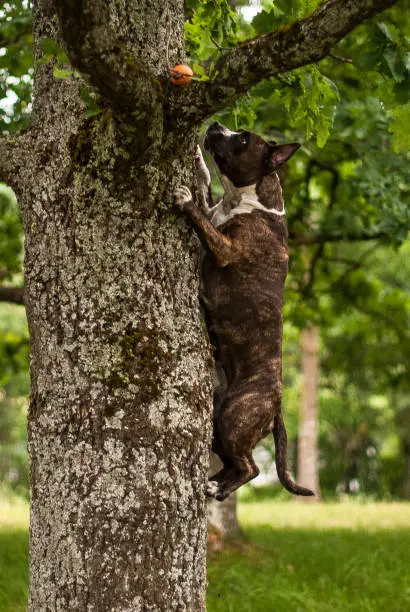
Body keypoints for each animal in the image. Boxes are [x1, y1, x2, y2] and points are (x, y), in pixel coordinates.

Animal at [174, 122, 314, 500]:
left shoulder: (225, 247)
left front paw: (185, 201)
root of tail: (277, 408)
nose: (216, 125)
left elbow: (203, 221)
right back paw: (215, 485)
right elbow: (207, 190)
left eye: (243, 139)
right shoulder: (216, 211)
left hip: (235, 418)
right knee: (235, 465)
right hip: (218, 421)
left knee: (250, 467)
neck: (245, 200)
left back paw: (215, 488)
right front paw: (198, 162)